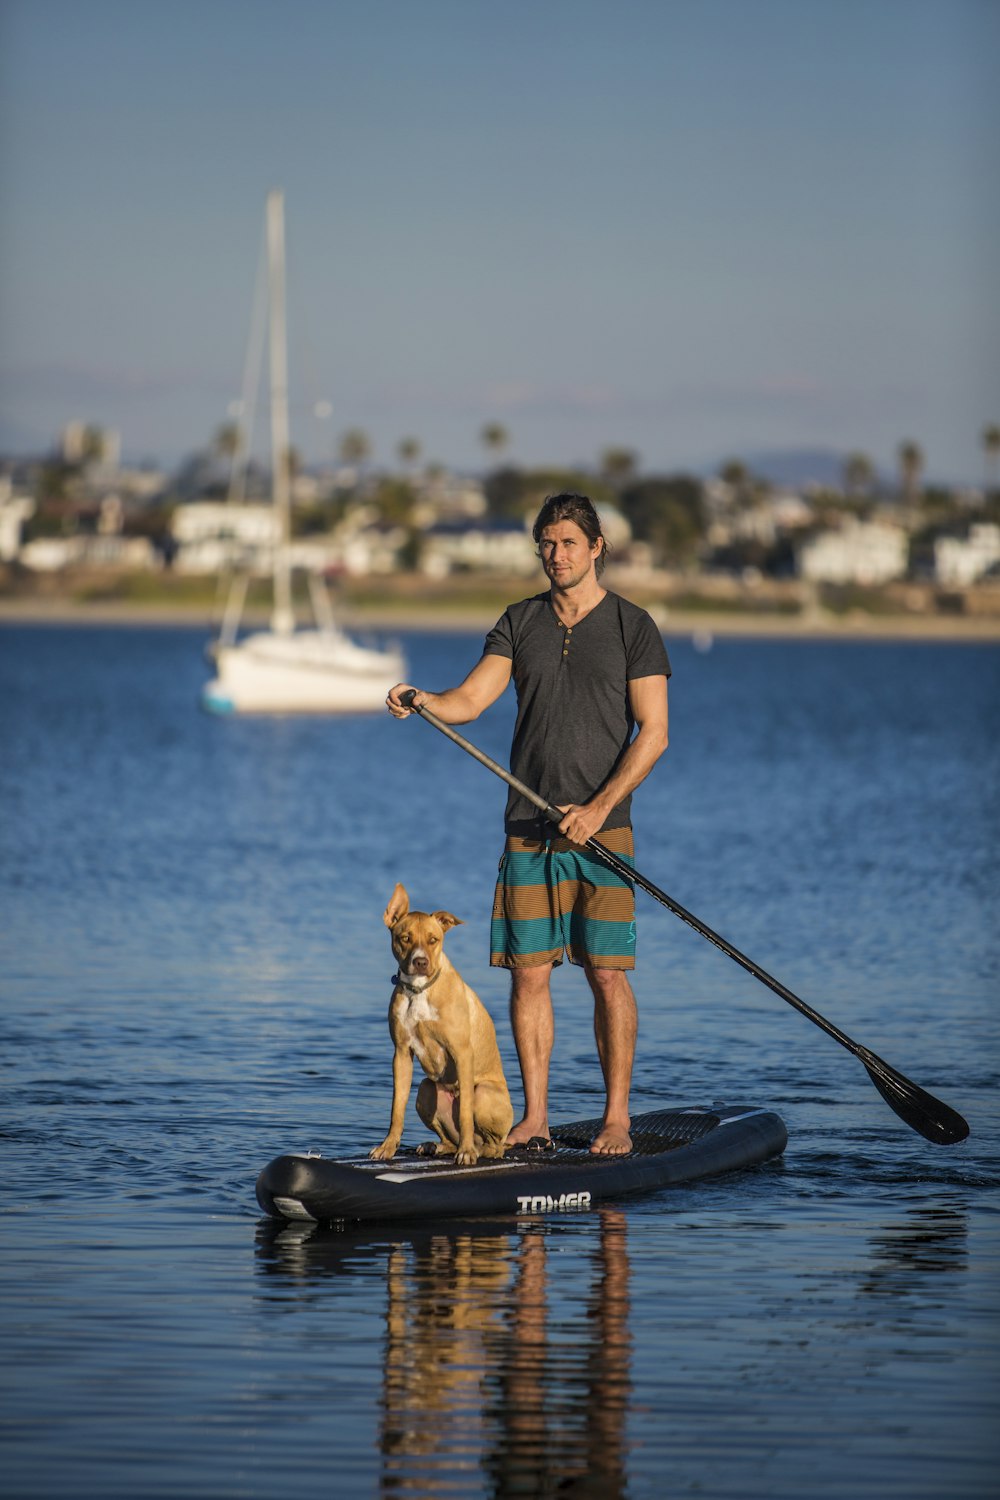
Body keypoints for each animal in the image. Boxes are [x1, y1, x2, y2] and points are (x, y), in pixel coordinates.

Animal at [374, 882, 515, 1164]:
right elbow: (396, 1108)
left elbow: (465, 1112)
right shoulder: (401, 1054)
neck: (419, 990)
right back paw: (437, 1146)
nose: (420, 962)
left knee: (494, 1145)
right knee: (450, 1135)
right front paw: (387, 1147)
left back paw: (476, 1148)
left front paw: (467, 1153)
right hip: (426, 1090)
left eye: (433, 939)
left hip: (484, 1093)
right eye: (404, 938)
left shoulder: (462, 1052)